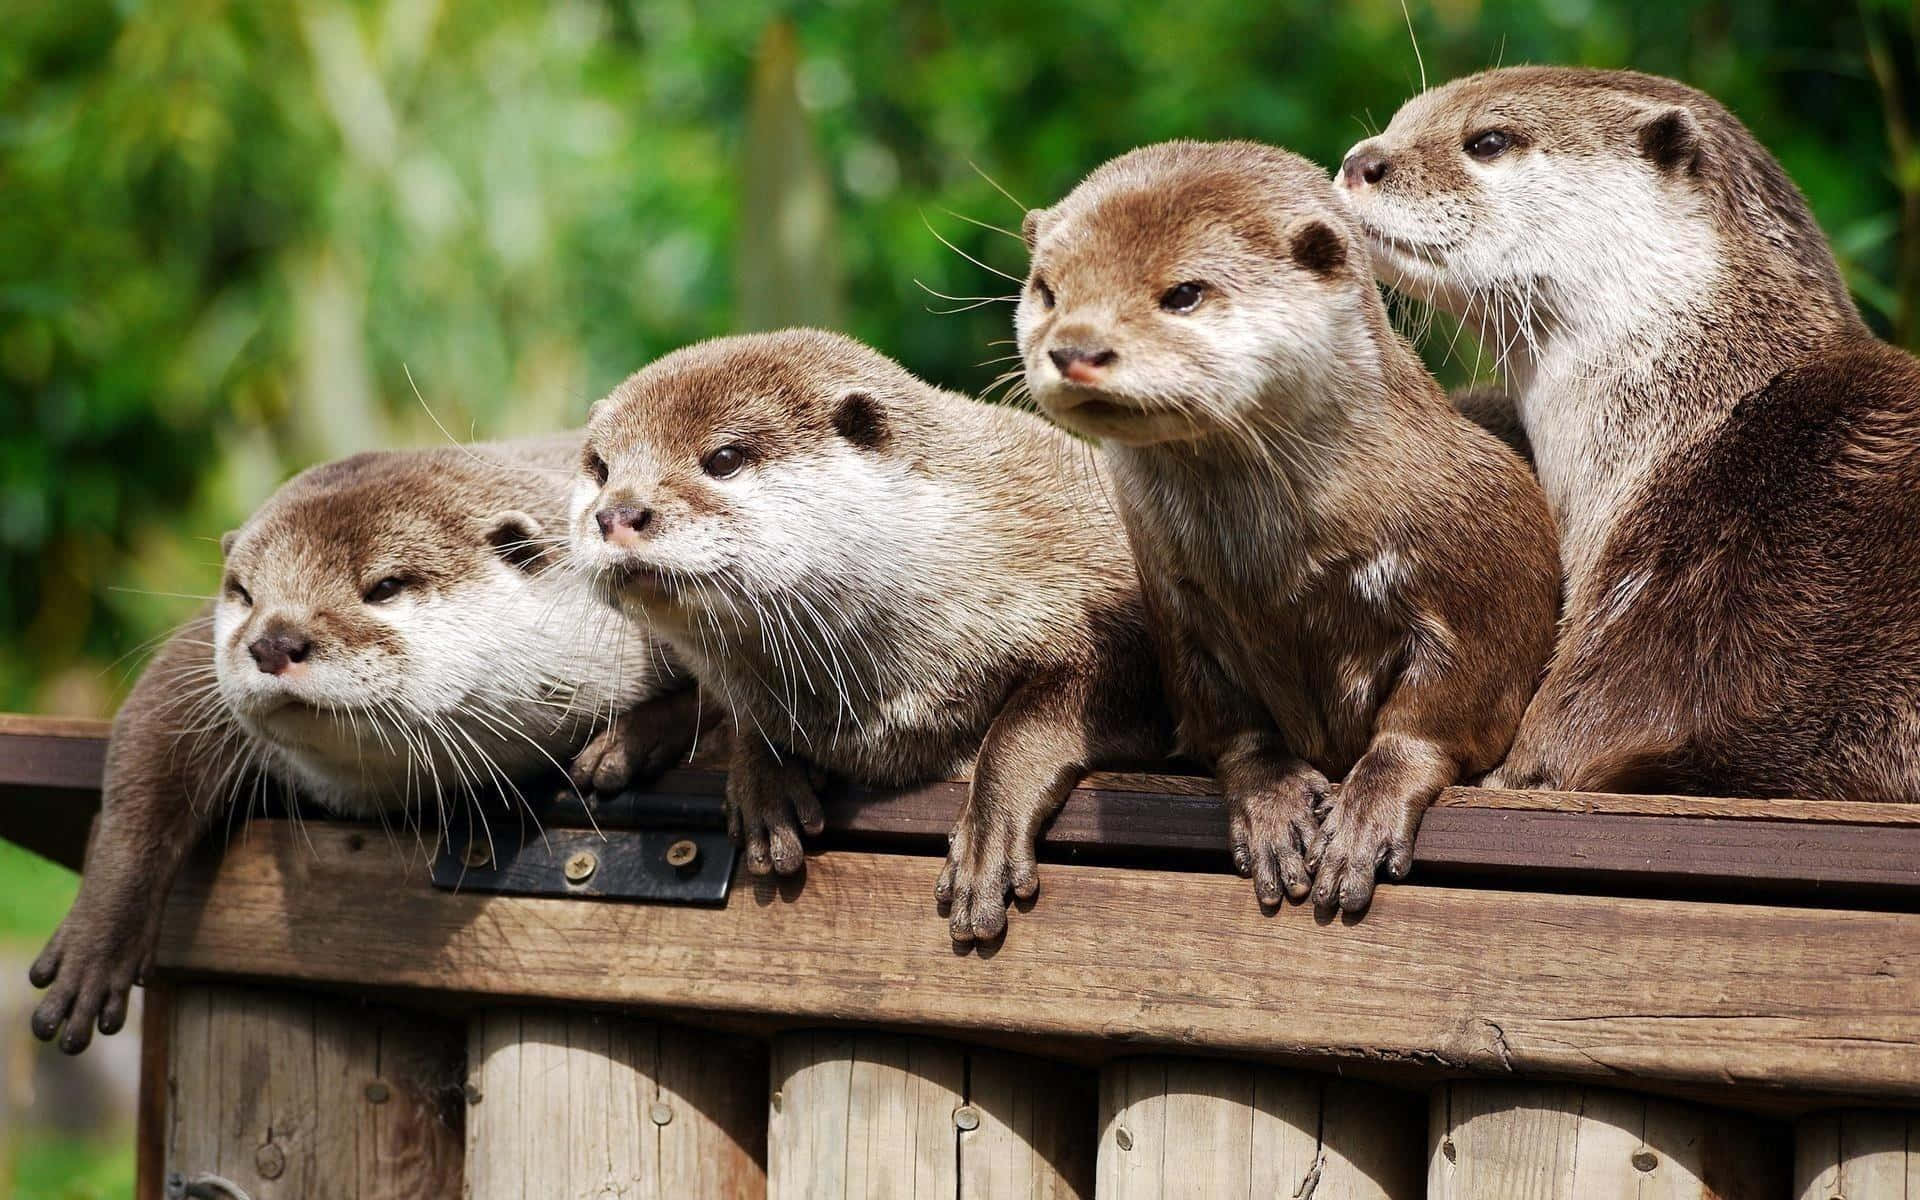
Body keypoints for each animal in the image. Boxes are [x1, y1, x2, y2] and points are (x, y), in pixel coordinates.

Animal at [31, 437, 698, 1044]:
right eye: (244, 594)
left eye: (384, 587)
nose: (273, 641)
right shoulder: (196, 660)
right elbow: (149, 748)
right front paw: (93, 945)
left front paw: (625, 743)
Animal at [568, 330, 1167, 944]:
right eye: (601, 469)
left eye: (725, 459)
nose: (617, 513)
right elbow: (744, 712)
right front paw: (764, 781)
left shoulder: (1110, 605)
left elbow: (1029, 724)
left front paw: (985, 840)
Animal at [1021, 140, 1559, 906]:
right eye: (1047, 290)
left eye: (1183, 293)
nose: (1075, 349)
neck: (1276, 576)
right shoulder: (1176, 603)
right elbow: (1227, 722)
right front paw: (1270, 802)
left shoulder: (1489, 570)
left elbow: (1441, 713)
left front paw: (1367, 810)